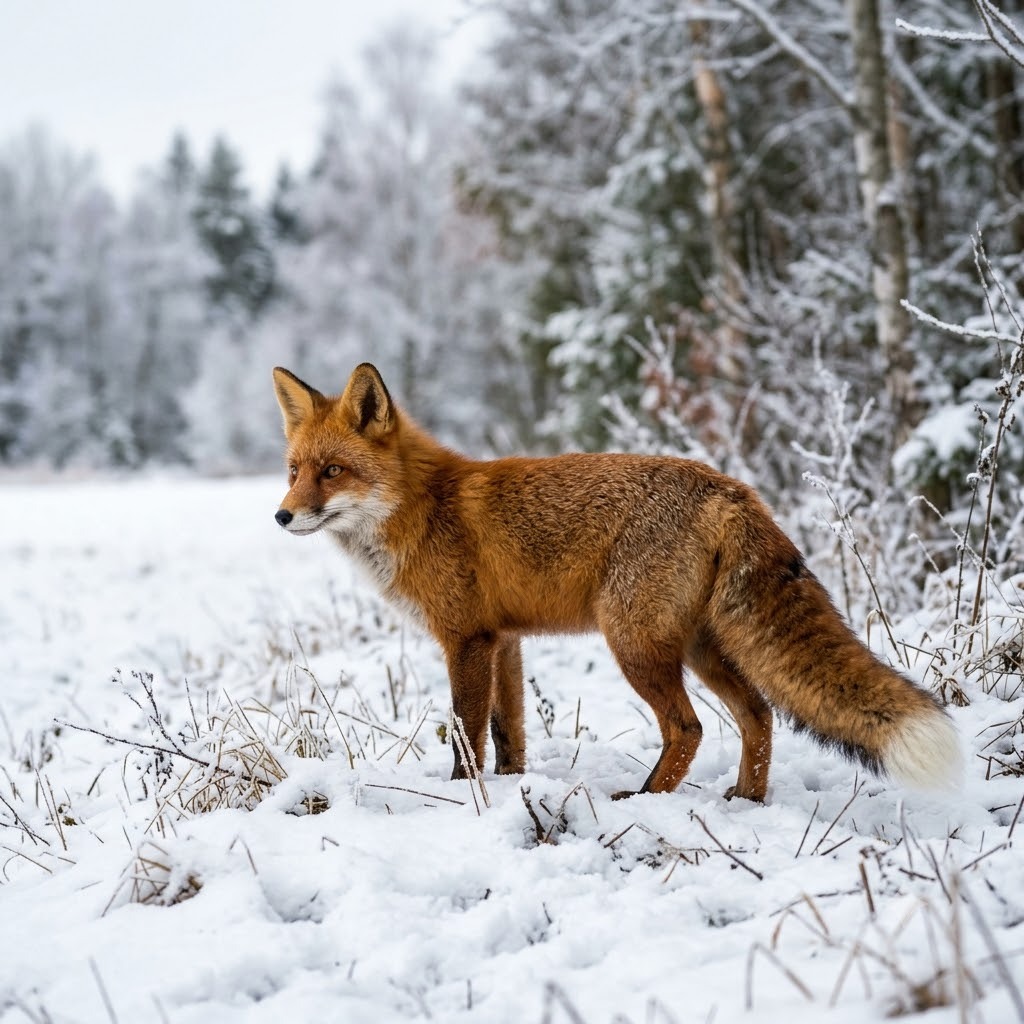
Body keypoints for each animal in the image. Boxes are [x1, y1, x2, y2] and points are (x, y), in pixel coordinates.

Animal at [272, 362, 962, 801]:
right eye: (294, 470)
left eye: (333, 472)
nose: (281, 516)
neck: (419, 507)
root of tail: (730, 487)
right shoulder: (504, 640)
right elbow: (507, 732)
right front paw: (512, 788)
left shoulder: (465, 639)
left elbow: (467, 734)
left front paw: (463, 798)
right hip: (703, 646)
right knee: (758, 715)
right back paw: (746, 799)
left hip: (634, 642)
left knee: (689, 727)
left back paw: (646, 799)